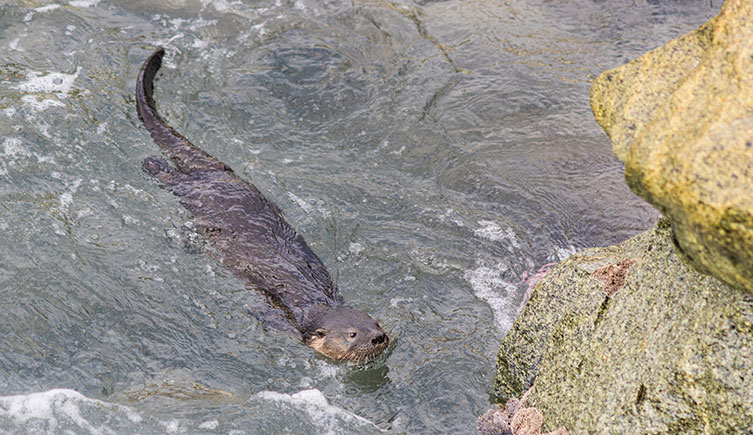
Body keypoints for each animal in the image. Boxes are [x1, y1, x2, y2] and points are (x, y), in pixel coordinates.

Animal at [135, 48, 389, 363]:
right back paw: (149, 163)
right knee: (167, 174)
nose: (378, 337)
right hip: (190, 188)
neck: (314, 304)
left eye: (375, 322)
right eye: (352, 334)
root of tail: (216, 171)